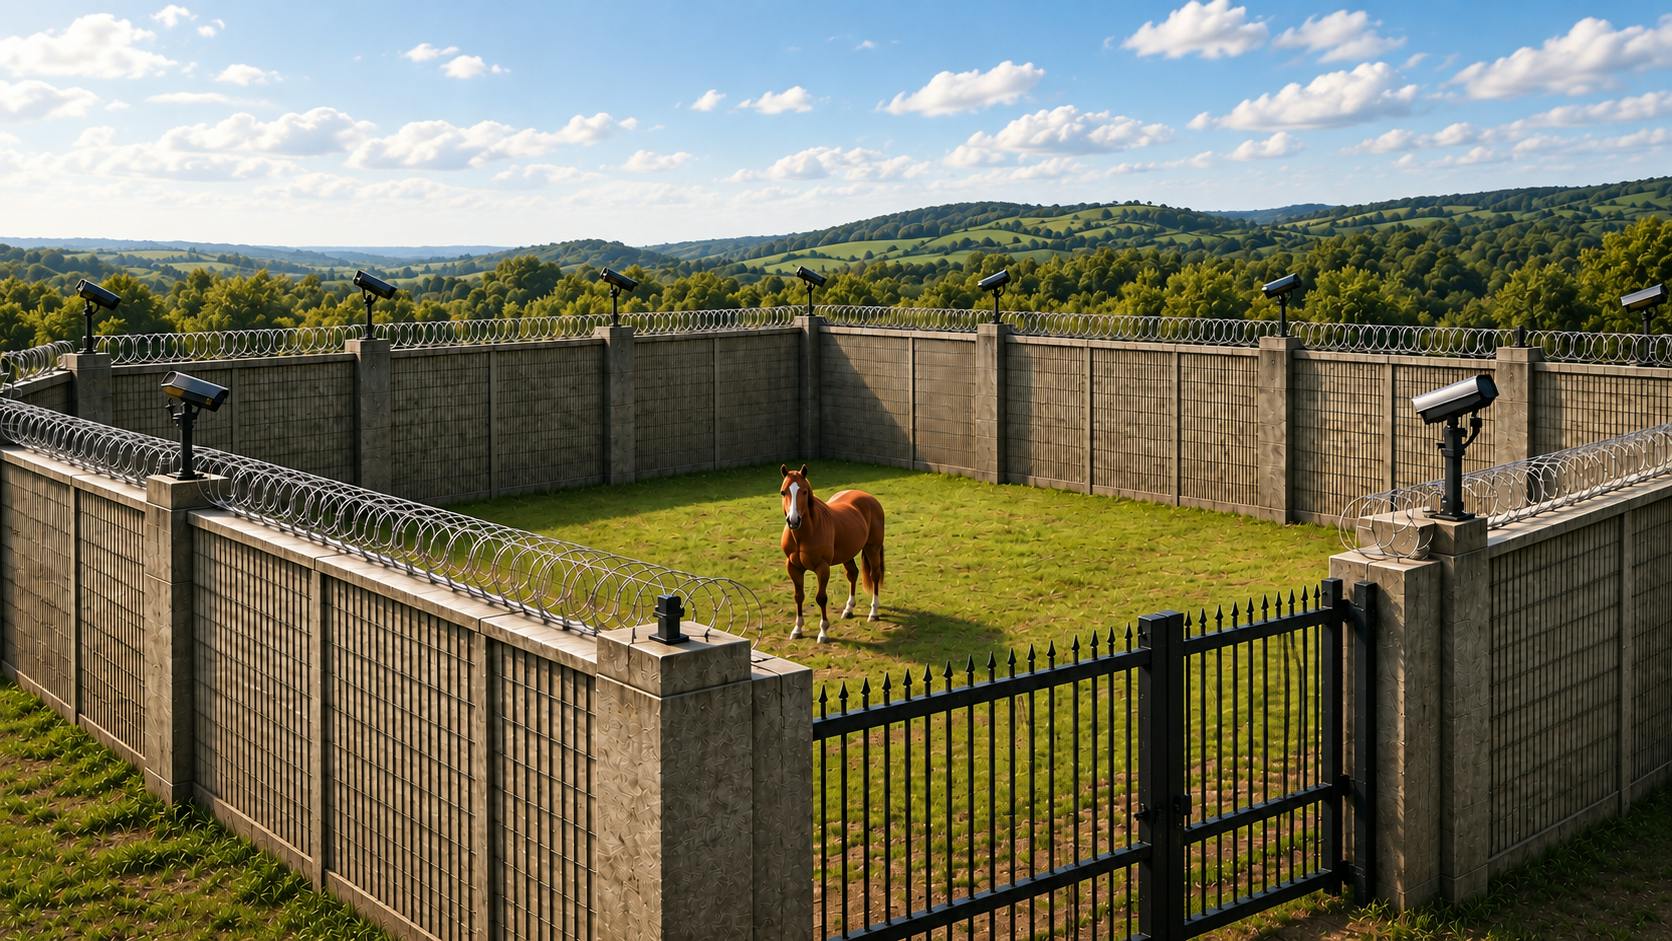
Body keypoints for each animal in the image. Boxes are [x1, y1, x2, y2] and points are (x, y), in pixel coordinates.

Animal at [778, 463, 885, 643]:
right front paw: (797, 629)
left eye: (804, 491)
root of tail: (870, 499)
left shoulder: (822, 568)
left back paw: (873, 612)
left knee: (874, 575)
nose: (793, 520)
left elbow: (821, 598)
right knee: (853, 574)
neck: (806, 533)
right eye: (783, 492)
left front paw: (823, 632)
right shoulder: (793, 567)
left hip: (873, 548)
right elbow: (799, 596)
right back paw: (848, 609)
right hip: (848, 554)